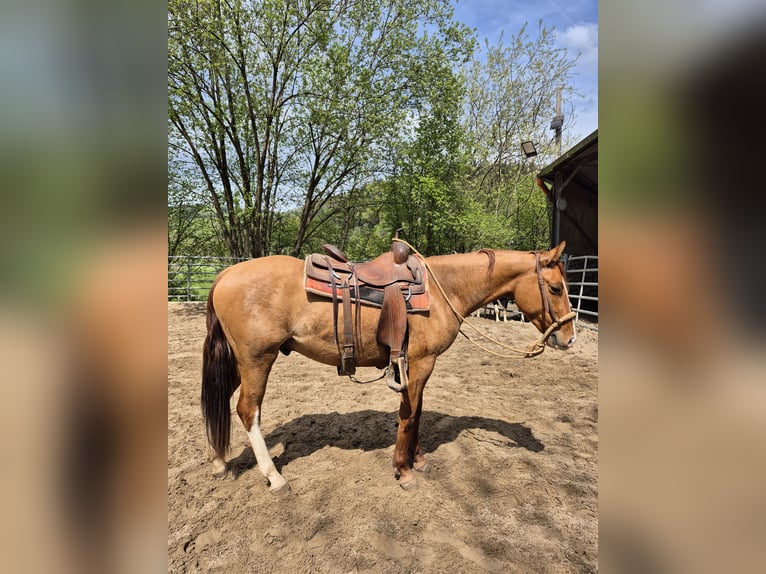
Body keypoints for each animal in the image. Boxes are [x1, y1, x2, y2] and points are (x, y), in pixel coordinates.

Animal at [201, 241, 576, 494]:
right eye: (555, 288)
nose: (569, 338)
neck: (444, 289)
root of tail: (225, 274)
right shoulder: (421, 362)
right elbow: (409, 415)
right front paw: (404, 470)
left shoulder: (416, 365)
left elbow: (417, 411)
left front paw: (418, 460)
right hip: (257, 359)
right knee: (248, 410)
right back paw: (274, 477)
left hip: (237, 361)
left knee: (219, 399)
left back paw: (219, 461)